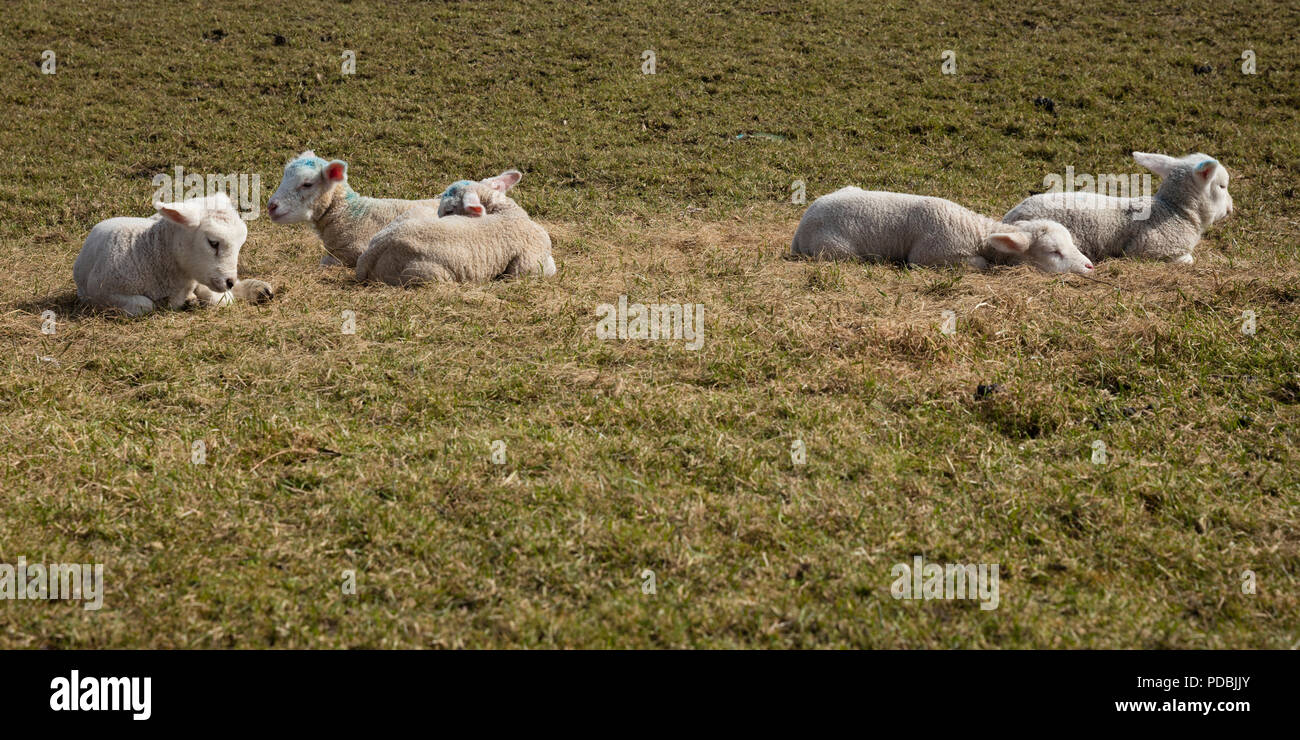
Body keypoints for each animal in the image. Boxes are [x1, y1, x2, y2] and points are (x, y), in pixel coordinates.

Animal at [73, 192, 274, 316]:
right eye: (213, 243)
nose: (229, 281)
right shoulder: (100, 292)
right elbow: (144, 305)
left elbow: (220, 299)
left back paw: (258, 289)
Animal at [790, 187, 1097, 274]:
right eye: (1053, 252)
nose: (1090, 266)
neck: (974, 232)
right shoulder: (928, 257)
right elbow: (982, 264)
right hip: (836, 251)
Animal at [1003, 151, 1237, 264]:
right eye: (1222, 186)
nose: (1231, 209)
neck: (1174, 210)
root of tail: (1008, 219)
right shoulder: (1149, 249)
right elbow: (1187, 260)